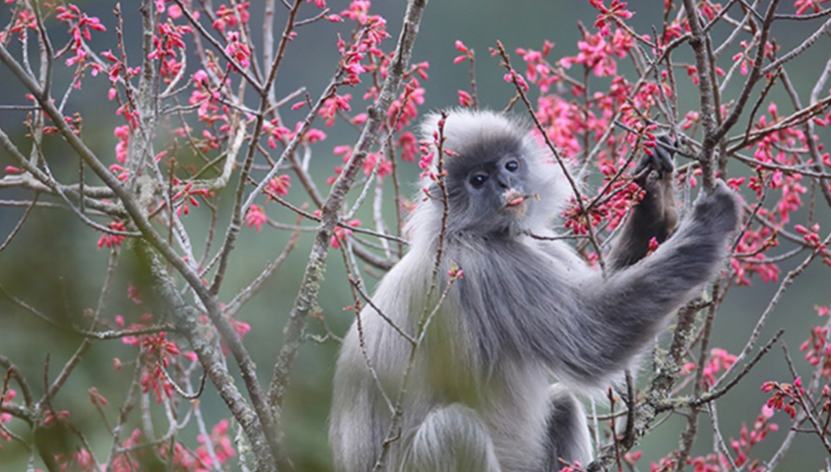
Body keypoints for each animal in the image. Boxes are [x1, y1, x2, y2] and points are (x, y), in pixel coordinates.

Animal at [329, 109, 740, 472]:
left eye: (510, 166)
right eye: (478, 180)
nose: (505, 186)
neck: (468, 231)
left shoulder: (533, 245)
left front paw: (654, 194)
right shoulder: (491, 269)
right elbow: (597, 339)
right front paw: (710, 222)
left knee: (561, 403)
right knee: (455, 428)